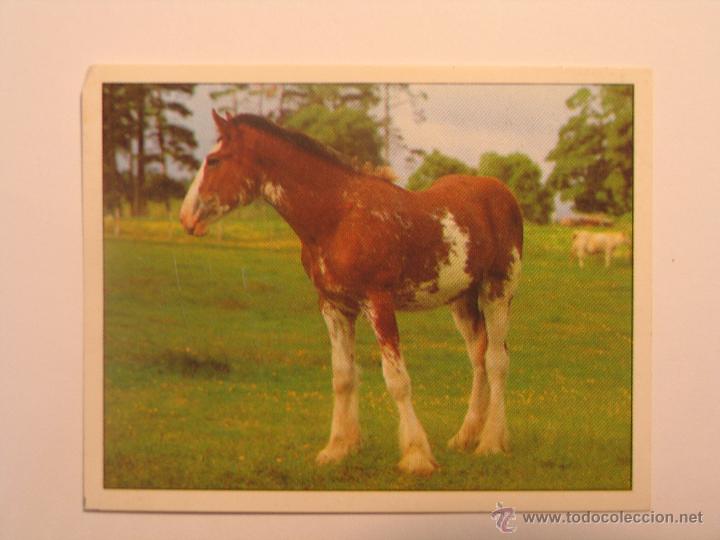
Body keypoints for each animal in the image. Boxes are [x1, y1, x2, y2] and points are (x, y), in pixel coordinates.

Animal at [180, 110, 523, 475]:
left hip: (498, 291)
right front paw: (339, 447)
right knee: (478, 357)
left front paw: (416, 455)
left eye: (214, 160)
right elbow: (343, 376)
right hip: (461, 300)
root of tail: (503, 193)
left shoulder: (378, 302)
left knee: (496, 360)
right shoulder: (335, 306)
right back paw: (466, 437)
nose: (186, 217)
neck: (338, 217)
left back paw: (491, 442)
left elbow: (397, 379)